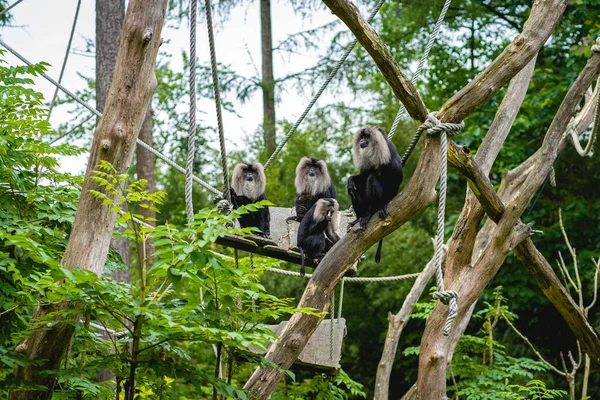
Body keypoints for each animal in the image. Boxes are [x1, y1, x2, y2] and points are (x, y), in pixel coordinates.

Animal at [346, 126, 404, 264]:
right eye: (362, 137)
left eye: (367, 137)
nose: (362, 141)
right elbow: (362, 175)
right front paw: (350, 180)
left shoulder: (390, 150)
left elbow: (396, 175)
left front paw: (384, 205)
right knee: (355, 189)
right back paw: (358, 218)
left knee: (371, 179)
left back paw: (370, 213)